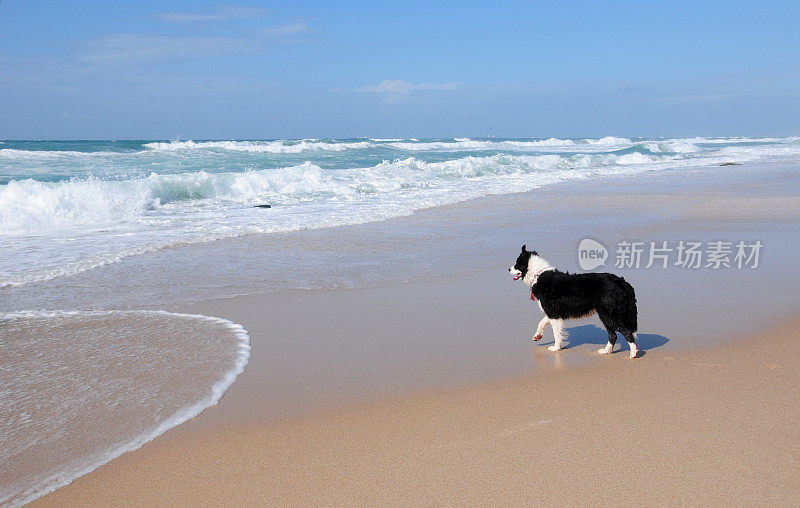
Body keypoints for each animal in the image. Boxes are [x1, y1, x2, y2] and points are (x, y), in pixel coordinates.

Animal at [510, 245, 640, 358]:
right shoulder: (554, 313)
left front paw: (555, 348)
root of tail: (623, 283)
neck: (538, 274)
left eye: (516, 264)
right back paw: (606, 351)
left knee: (626, 332)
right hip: (606, 315)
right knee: (613, 335)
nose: (508, 269)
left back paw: (633, 354)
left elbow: (556, 333)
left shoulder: (553, 313)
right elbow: (542, 322)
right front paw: (537, 336)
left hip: (610, 314)